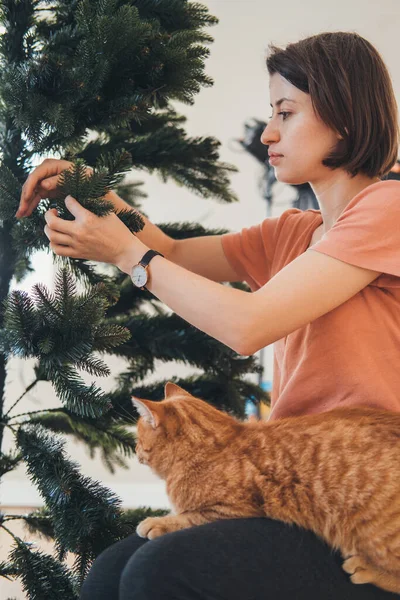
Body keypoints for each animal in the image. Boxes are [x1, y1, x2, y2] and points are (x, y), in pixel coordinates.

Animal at [133, 382, 400, 592]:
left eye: (136, 438)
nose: (134, 450)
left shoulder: (232, 509)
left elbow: (190, 517)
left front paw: (158, 522)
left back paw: (365, 568)